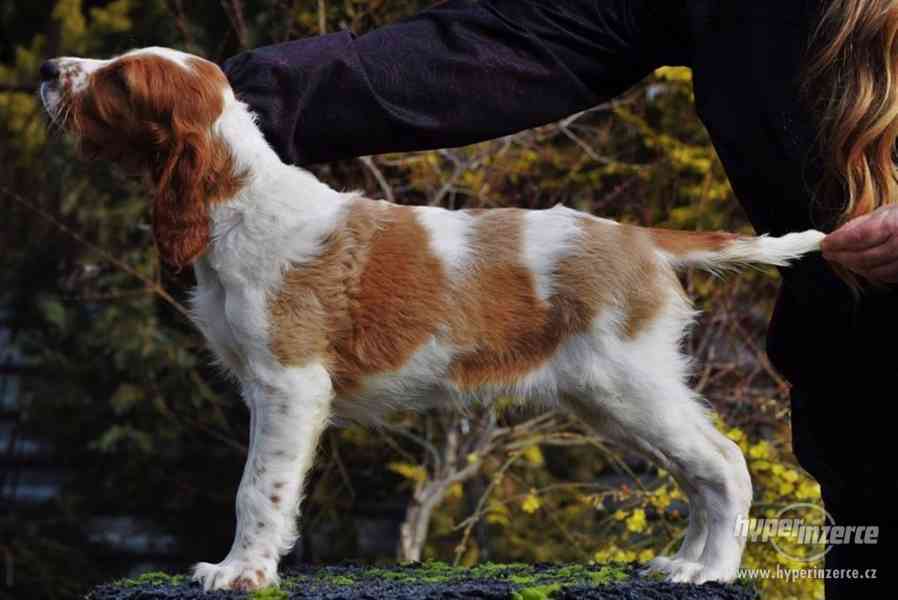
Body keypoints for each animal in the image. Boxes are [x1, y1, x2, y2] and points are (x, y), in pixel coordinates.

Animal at [40, 48, 824, 592]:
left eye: (119, 81)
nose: (48, 68)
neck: (238, 202)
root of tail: (640, 237)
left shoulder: (289, 384)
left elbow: (257, 487)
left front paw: (241, 573)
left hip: (631, 384)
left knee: (723, 462)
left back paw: (712, 571)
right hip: (610, 398)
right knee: (696, 474)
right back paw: (684, 562)